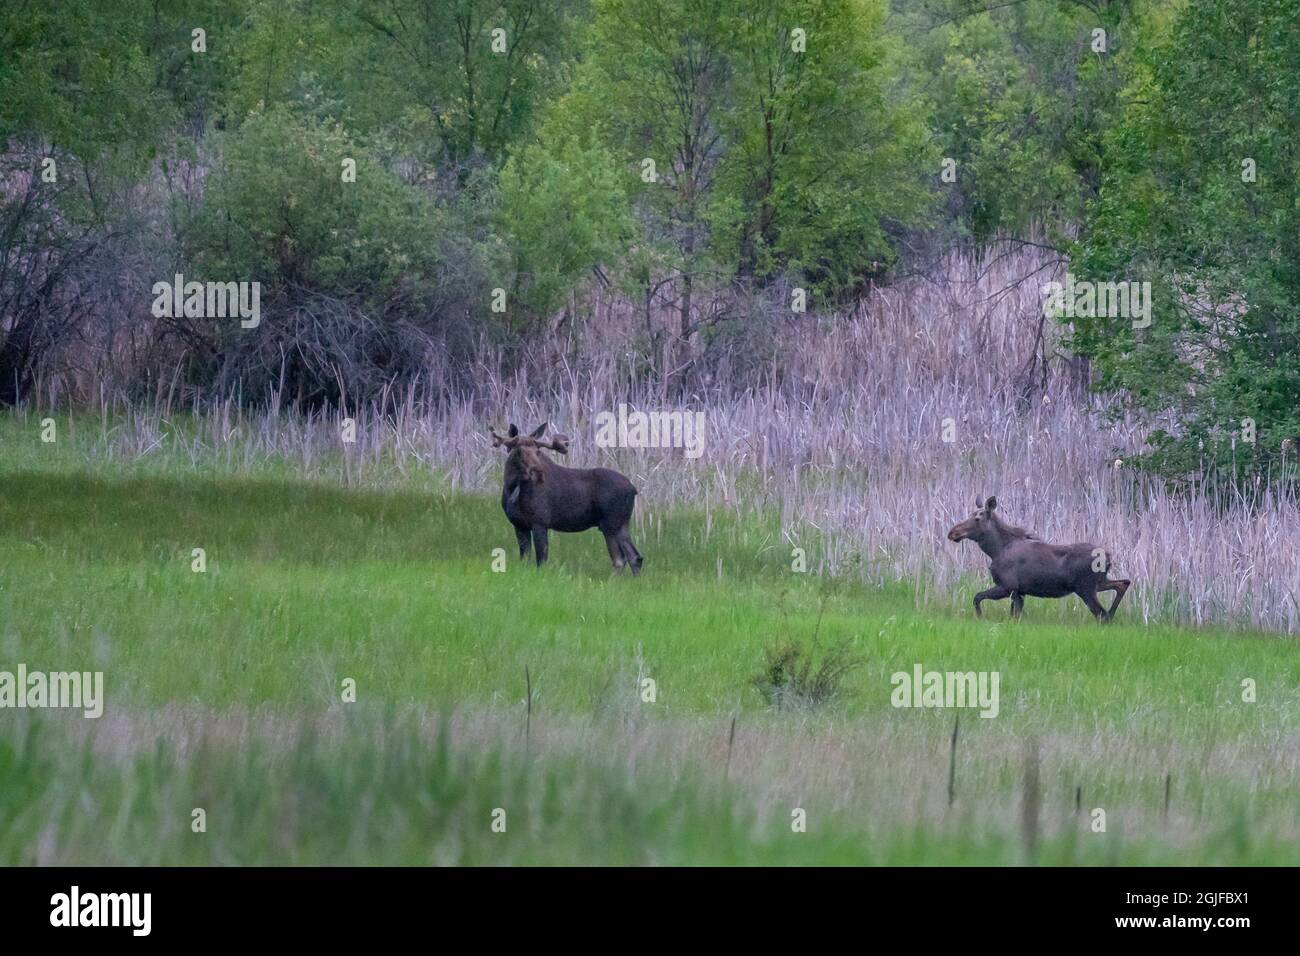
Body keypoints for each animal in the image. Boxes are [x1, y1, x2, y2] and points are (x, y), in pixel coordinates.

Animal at [489, 423, 643, 574]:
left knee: (623, 558)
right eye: (519, 451)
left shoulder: (540, 521)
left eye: (537, 451)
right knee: (631, 557)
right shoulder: (519, 524)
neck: (511, 488)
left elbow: (541, 558)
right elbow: (525, 557)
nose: (538, 471)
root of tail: (633, 489)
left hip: (612, 523)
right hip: (619, 524)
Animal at [946, 496, 1130, 621]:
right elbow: (1014, 617)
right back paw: (1113, 613)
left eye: (977, 518)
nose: (952, 532)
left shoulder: (1008, 586)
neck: (995, 550)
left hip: (1086, 588)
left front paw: (980, 617)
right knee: (1123, 583)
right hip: (1098, 583)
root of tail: (1108, 557)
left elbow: (977, 597)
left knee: (1101, 614)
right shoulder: (1019, 592)